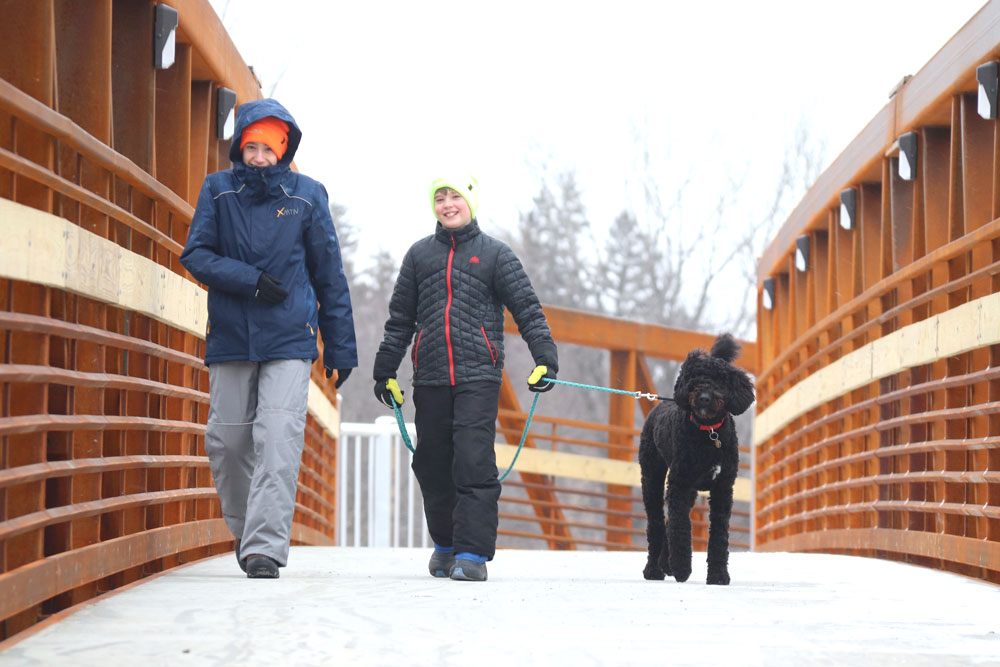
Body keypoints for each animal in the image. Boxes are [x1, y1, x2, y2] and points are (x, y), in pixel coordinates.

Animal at [640, 334, 752, 584]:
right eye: (695, 379)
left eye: (720, 380)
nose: (704, 397)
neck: (708, 433)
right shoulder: (680, 484)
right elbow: (681, 528)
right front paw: (682, 568)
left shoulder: (722, 488)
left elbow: (719, 535)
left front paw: (718, 575)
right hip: (652, 477)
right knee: (657, 523)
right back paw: (654, 570)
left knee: (668, 522)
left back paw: (665, 564)